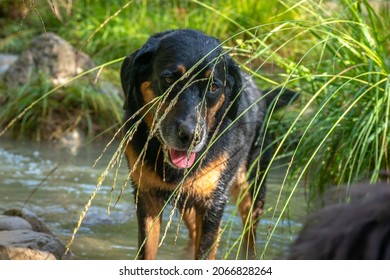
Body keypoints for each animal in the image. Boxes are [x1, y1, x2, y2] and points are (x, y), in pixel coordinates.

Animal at [120, 29, 294, 260]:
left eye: (213, 86)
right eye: (169, 79)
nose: (191, 135)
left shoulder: (212, 205)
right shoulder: (147, 197)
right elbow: (146, 253)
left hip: (251, 186)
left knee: (249, 234)